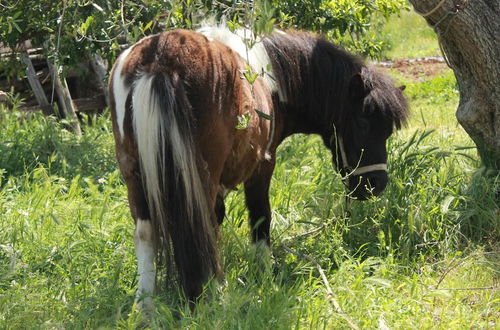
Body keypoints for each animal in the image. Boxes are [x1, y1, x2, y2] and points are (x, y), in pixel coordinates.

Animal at [108, 25, 406, 306]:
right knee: (199, 225)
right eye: (363, 123)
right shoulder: (262, 166)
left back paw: (146, 304)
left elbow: (218, 221)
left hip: (134, 175)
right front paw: (263, 274)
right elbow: (260, 217)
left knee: (147, 233)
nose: (376, 184)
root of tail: (161, 58)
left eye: (388, 130)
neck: (272, 79)